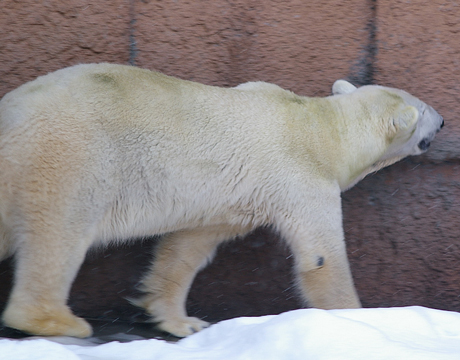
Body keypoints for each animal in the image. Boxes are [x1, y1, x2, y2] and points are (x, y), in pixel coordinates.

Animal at [0, 64, 444, 338]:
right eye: (423, 109)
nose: (442, 121)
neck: (319, 129)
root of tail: (12, 113)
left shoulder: (236, 194)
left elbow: (188, 246)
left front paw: (179, 320)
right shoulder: (300, 178)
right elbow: (322, 260)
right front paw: (362, 322)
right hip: (72, 155)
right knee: (61, 233)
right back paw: (59, 321)